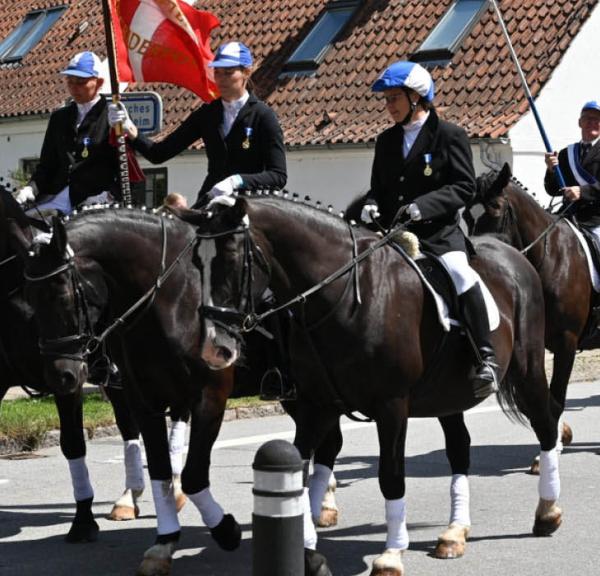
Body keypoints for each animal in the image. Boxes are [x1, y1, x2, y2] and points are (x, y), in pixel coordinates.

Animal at [0, 189, 157, 540]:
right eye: (32, 296)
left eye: (64, 297)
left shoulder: (67, 375)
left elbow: (73, 443)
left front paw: (83, 521)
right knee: (130, 425)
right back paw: (130, 497)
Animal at [190, 194, 564, 576]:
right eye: (195, 261)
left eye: (232, 256)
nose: (214, 348)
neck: (345, 298)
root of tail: (511, 252)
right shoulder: (317, 405)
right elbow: (302, 468)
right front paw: (309, 553)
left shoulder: (391, 405)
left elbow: (390, 476)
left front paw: (391, 554)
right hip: (448, 395)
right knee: (460, 448)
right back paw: (454, 533)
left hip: (528, 369)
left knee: (546, 424)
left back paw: (547, 510)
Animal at [474, 163, 596, 460]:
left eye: (496, 207)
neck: (550, 257)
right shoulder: (532, 344)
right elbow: (536, 404)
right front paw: (558, 438)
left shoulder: (566, 342)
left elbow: (556, 399)